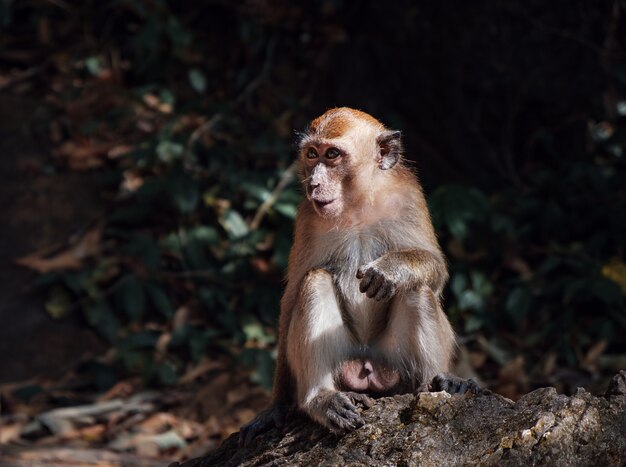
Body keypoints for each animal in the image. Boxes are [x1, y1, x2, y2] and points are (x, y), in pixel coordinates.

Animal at [239, 108, 478, 448]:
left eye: (332, 155)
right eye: (312, 154)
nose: (314, 183)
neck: (358, 205)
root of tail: (367, 366)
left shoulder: (409, 196)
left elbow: (434, 267)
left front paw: (391, 269)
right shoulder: (307, 218)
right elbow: (292, 297)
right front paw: (277, 406)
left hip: (394, 361)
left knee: (416, 289)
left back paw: (436, 380)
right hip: (345, 357)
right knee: (315, 281)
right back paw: (321, 398)